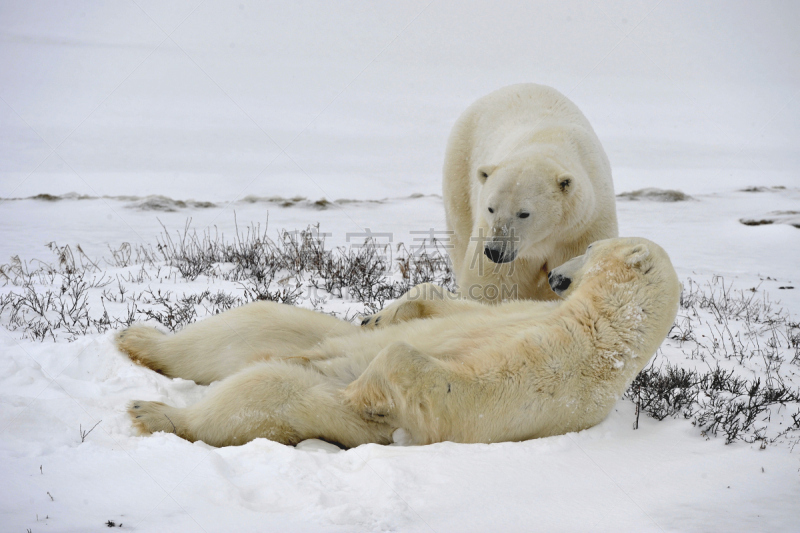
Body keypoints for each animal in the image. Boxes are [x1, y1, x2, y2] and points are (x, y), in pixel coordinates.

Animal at [119, 235, 680, 446]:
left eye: (590, 248)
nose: (560, 276)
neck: (599, 325)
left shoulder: (560, 372)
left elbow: (461, 397)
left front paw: (364, 389)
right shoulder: (529, 313)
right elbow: (454, 306)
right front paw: (384, 314)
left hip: (317, 409)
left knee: (265, 391)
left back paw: (156, 412)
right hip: (313, 329)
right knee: (250, 325)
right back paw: (140, 340)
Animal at [440, 81, 616, 302]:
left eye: (524, 213)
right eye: (490, 208)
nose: (495, 251)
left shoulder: (582, 229)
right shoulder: (495, 237)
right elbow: (491, 283)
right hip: (460, 171)